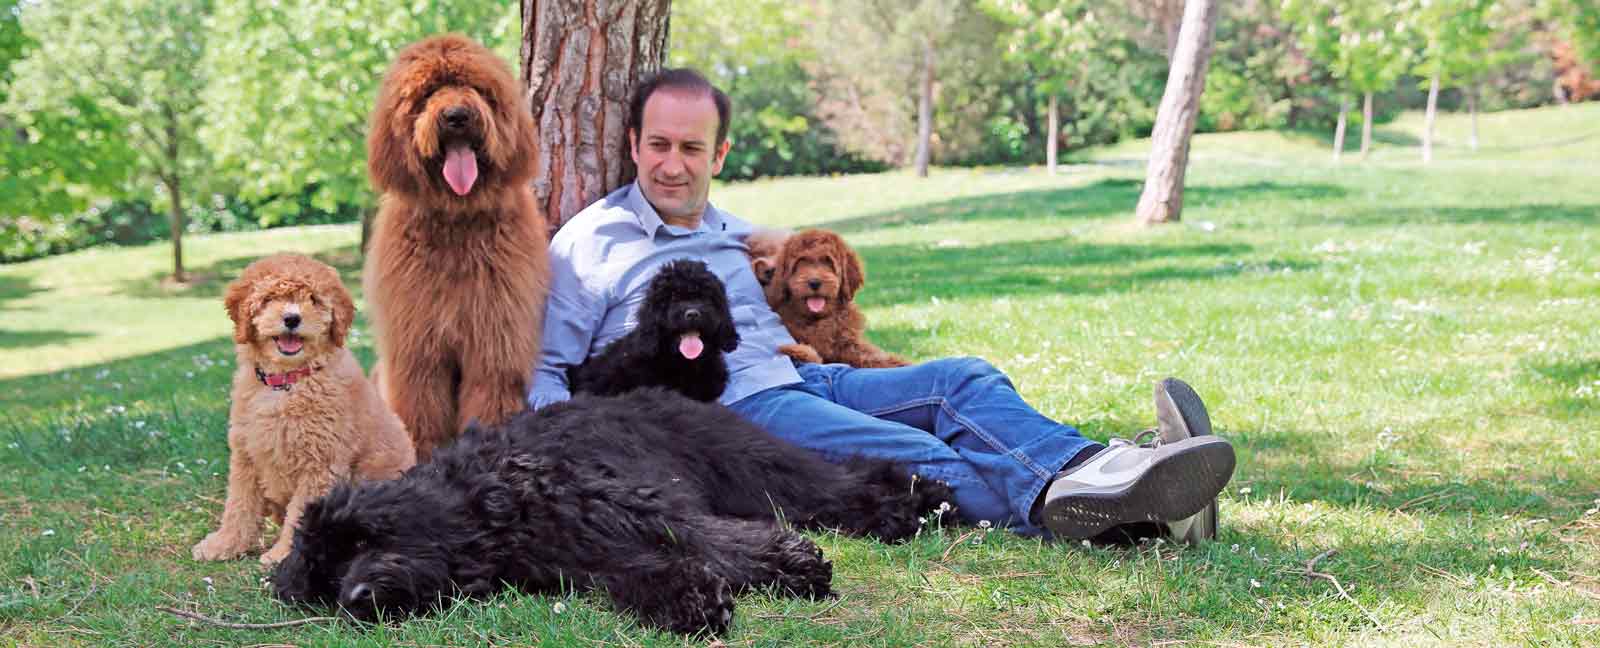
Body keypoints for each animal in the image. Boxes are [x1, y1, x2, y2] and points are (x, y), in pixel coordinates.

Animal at [192, 249, 416, 563]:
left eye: (313, 299)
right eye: (269, 298)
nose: (291, 318)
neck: (287, 381)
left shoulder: (320, 465)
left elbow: (299, 515)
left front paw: (283, 556)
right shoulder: (246, 455)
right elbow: (239, 505)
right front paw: (225, 544)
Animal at [272, 385, 947, 633]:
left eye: (361, 541)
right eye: (325, 577)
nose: (356, 599)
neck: (484, 504)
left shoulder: (642, 505)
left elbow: (715, 540)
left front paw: (790, 563)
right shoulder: (584, 557)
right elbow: (637, 575)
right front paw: (689, 601)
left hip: (749, 464)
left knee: (837, 480)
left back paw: (915, 501)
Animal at [364, 34, 550, 460]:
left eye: (478, 89)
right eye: (427, 92)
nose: (456, 116)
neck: (456, 224)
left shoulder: (495, 343)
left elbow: (489, 402)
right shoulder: (416, 350)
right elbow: (419, 413)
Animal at [764, 227, 915, 368]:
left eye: (828, 262)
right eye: (801, 262)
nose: (814, 282)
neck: (818, 320)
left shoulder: (849, 344)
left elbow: (872, 356)